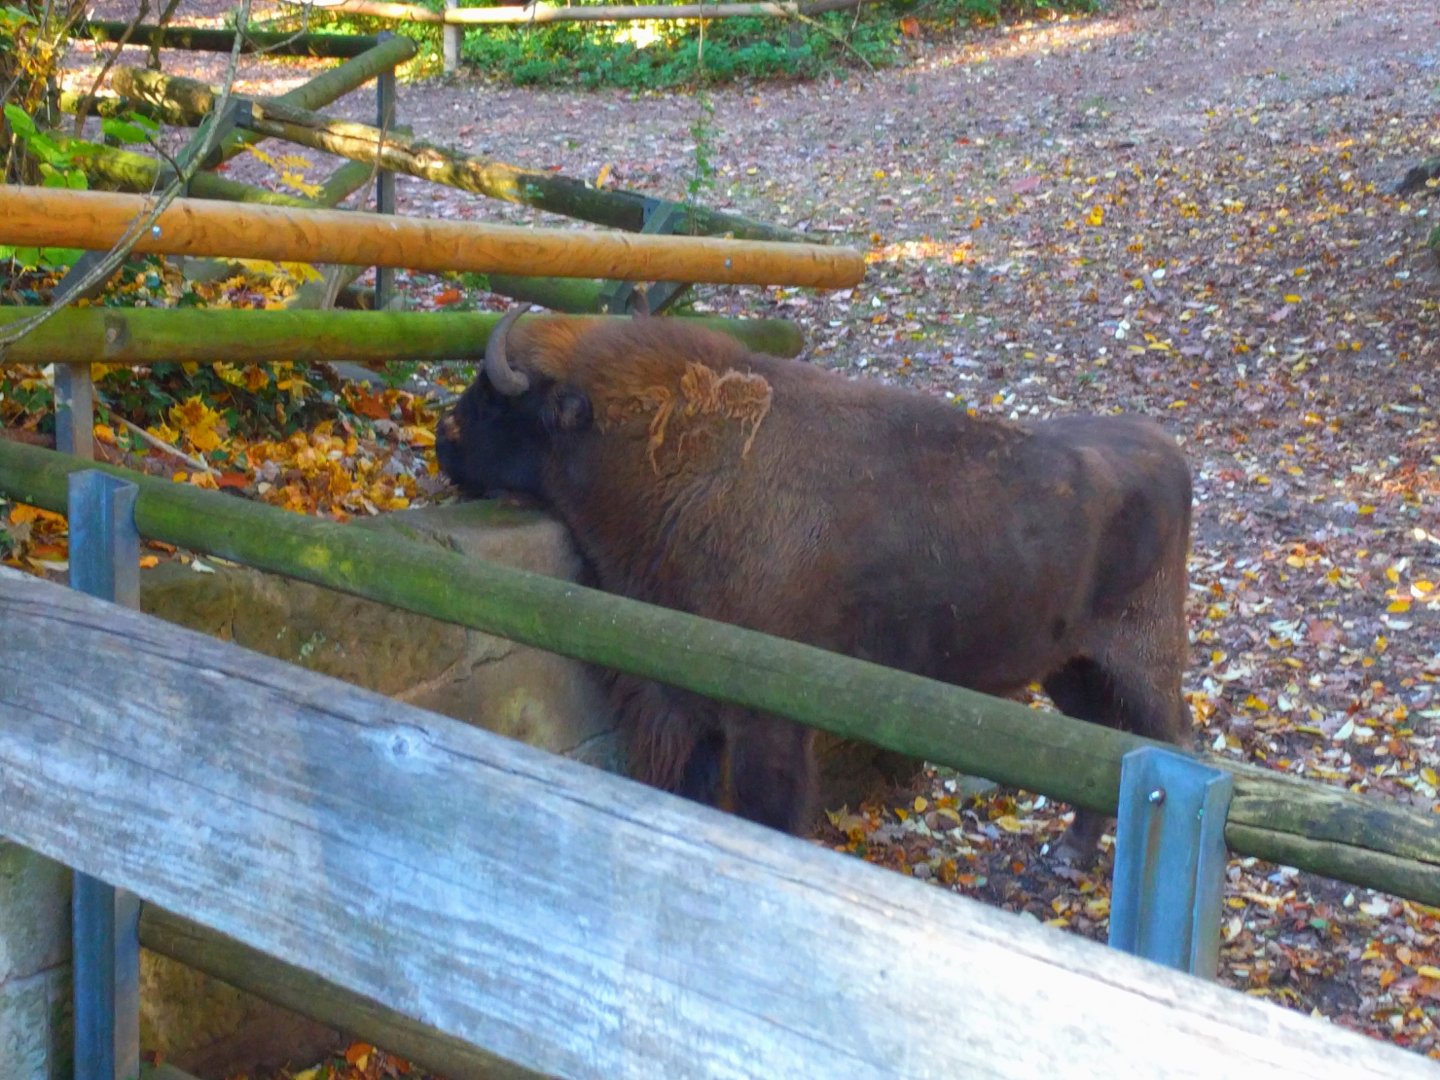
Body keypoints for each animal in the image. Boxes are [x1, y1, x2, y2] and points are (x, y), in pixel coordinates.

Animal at [437, 309, 1193, 858]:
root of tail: (1168, 452)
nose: (444, 441)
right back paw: (1069, 851)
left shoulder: (769, 717)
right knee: (1098, 745)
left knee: (1168, 742)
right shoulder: (684, 704)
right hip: (1068, 665)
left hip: (1143, 661)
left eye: (499, 400)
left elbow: (766, 805)